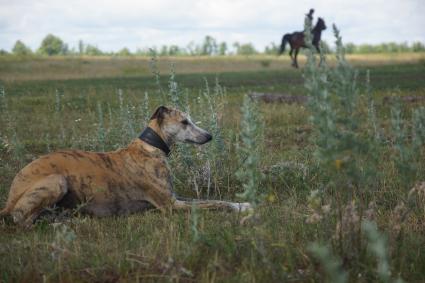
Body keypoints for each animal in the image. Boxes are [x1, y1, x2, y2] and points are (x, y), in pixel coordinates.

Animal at [0, 106, 252, 229]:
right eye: (184, 122)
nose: (209, 136)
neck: (150, 147)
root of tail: (10, 198)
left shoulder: (175, 197)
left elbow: (212, 199)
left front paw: (244, 203)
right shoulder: (170, 205)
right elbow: (216, 204)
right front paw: (240, 208)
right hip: (56, 181)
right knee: (22, 221)